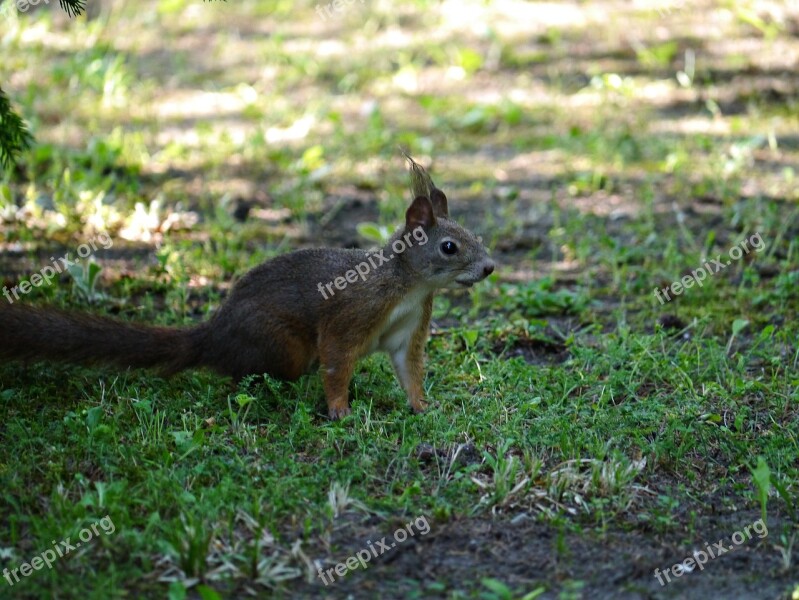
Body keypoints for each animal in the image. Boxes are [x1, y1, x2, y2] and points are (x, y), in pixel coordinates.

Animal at [0, 157, 494, 420]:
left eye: (475, 234)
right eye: (449, 247)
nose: (489, 268)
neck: (408, 286)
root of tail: (214, 334)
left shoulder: (411, 328)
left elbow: (409, 370)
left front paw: (423, 406)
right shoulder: (351, 313)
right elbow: (337, 362)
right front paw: (340, 410)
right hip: (282, 344)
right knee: (244, 374)